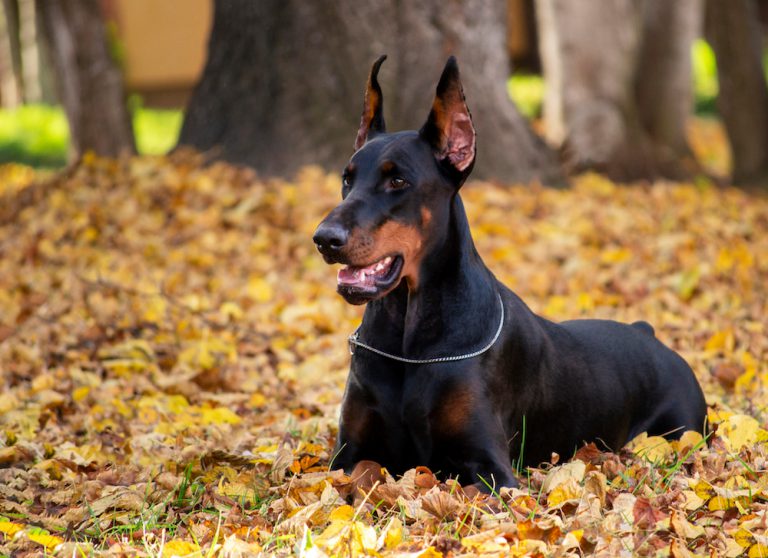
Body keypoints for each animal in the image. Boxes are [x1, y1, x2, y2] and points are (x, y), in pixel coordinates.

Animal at [312, 54, 708, 488]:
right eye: (347, 178)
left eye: (397, 179)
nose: (324, 238)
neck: (408, 342)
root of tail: (647, 333)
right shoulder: (347, 453)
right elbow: (354, 477)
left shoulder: (490, 466)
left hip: (682, 430)